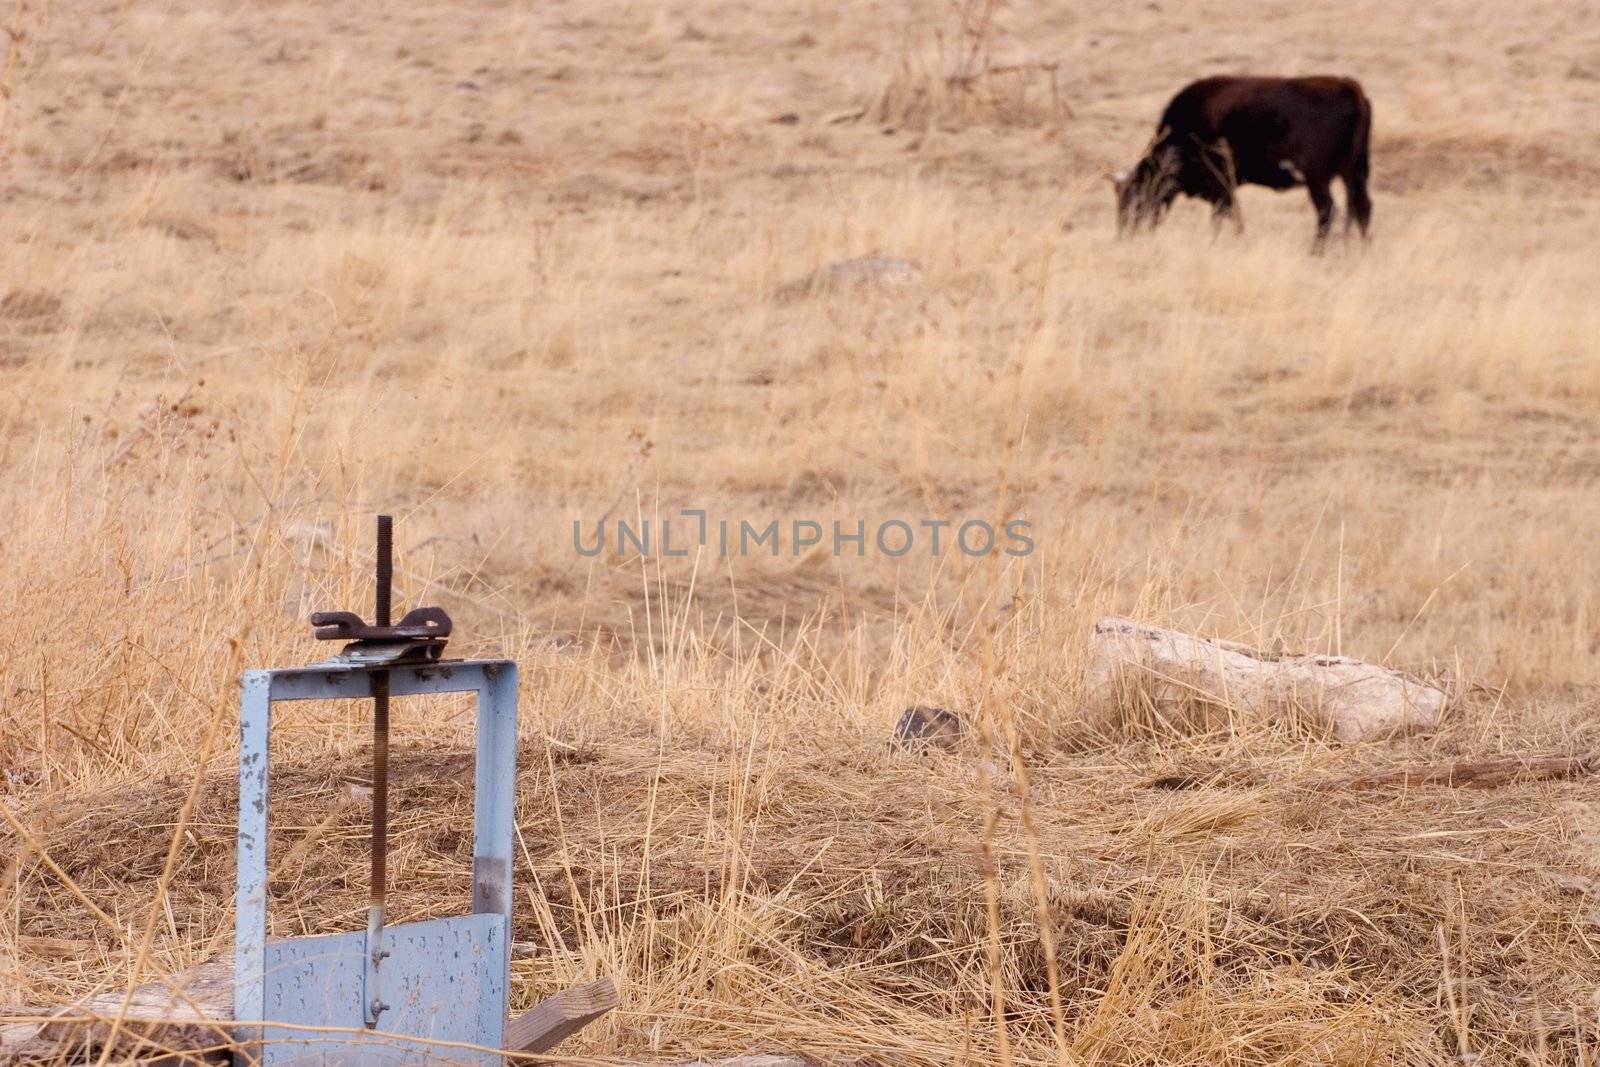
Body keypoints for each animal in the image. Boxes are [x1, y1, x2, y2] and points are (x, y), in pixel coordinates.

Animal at [1113, 75, 1376, 249]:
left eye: (1134, 200)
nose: (1125, 236)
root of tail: (1347, 86)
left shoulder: (1220, 186)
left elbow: (1224, 217)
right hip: (1356, 172)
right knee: (1362, 207)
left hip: (1317, 178)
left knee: (1327, 210)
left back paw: (1317, 252)